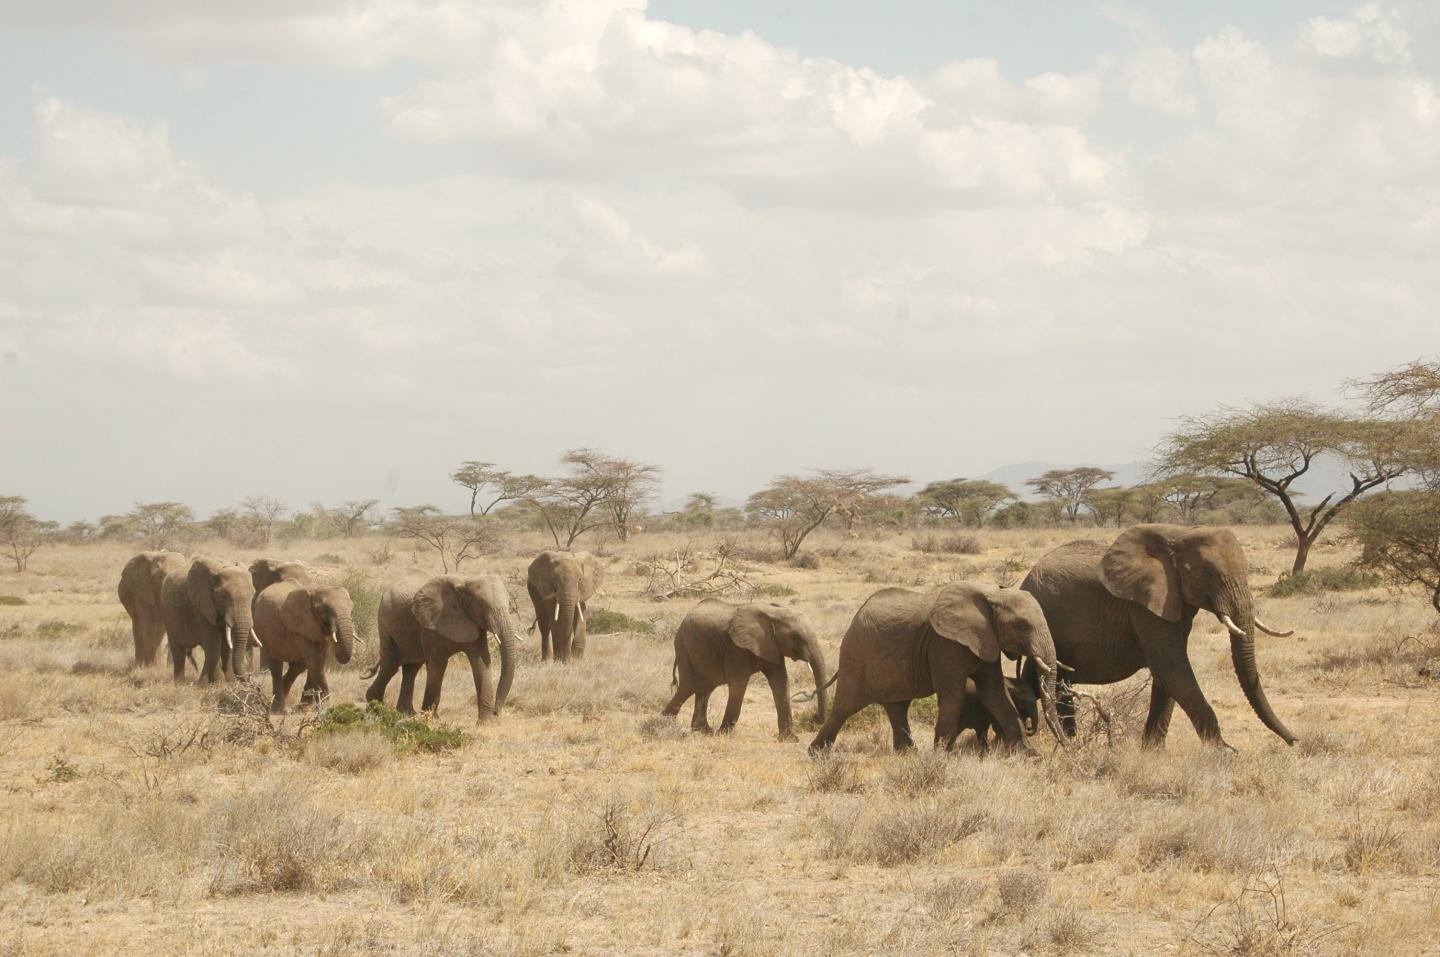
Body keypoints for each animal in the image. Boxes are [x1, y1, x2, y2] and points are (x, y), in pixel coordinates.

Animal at [253, 581, 356, 713]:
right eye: (325, 611)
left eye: (351, 610)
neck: (316, 590)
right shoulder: (302, 627)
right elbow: (315, 662)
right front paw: (324, 706)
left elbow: (317, 661)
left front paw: (306, 706)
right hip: (263, 634)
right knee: (276, 666)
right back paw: (277, 709)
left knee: (298, 667)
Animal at [364, 575, 520, 721]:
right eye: (481, 606)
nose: (496, 712)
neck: (463, 583)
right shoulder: (431, 624)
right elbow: (437, 665)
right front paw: (431, 719)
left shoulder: (472, 623)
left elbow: (481, 663)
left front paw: (486, 723)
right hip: (383, 622)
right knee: (391, 665)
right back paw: (375, 707)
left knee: (412, 667)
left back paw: (406, 713)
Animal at [661, 599, 831, 741]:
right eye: (796, 638)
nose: (815, 718)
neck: (774, 614)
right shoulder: (736, 648)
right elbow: (739, 684)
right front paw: (724, 734)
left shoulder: (772, 646)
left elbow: (780, 682)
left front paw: (789, 739)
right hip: (683, 647)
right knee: (689, 686)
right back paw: (664, 724)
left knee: (705, 688)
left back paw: (703, 730)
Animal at [808, 582, 1064, 755]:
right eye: (1021, 626)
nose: (1065, 747)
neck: (991, 594)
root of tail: (855, 619)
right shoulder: (945, 643)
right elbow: (952, 694)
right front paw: (942, 756)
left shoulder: (987, 640)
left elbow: (995, 692)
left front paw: (1028, 754)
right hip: (856, 655)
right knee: (845, 707)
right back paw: (816, 754)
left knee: (897, 708)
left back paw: (907, 755)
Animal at [1020, 524, 1297, 749]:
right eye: (1207, 573)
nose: (1293, 740)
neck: (1178, 535)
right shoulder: (1146, 607)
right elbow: (1173, 668)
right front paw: (1223, 754)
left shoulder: (1172, 604)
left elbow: (1166, 677)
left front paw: (1152, 752)